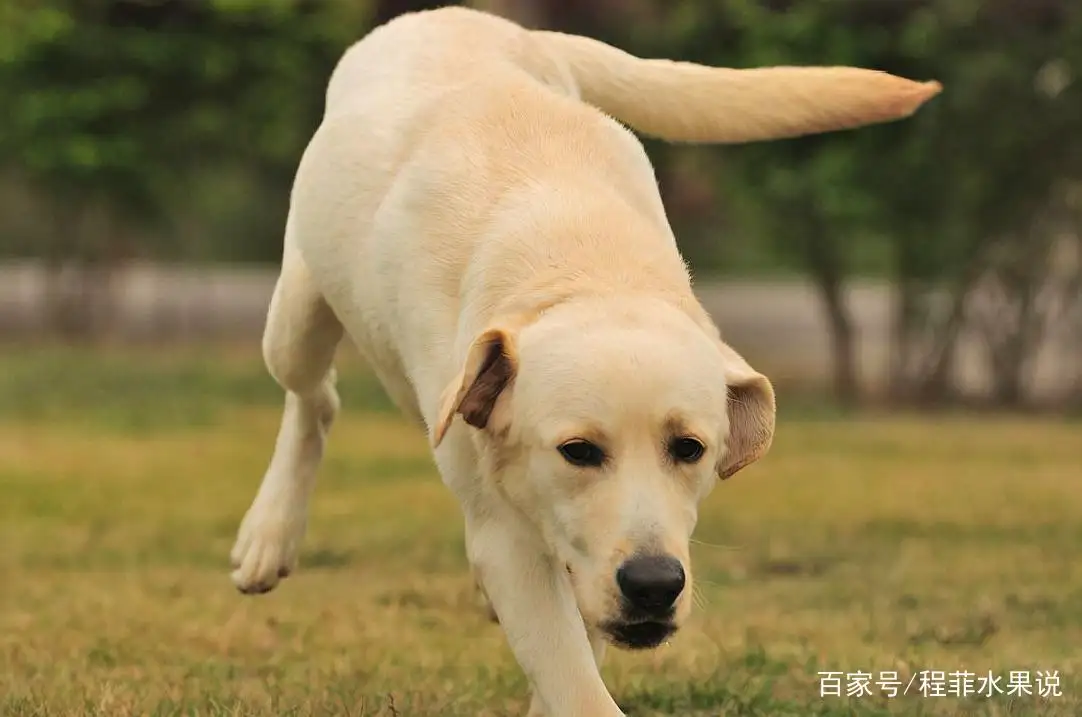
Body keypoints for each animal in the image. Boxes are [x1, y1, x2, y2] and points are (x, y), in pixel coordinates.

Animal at [230, 7, 939, 717]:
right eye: (578, 451)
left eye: (690, 448)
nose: (654, 584)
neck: (586, 266)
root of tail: (473, 18)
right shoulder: (510, 539)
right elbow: (573, 677)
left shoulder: (585, 566)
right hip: (297, 312)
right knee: (314, 397)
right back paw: (269, 534)